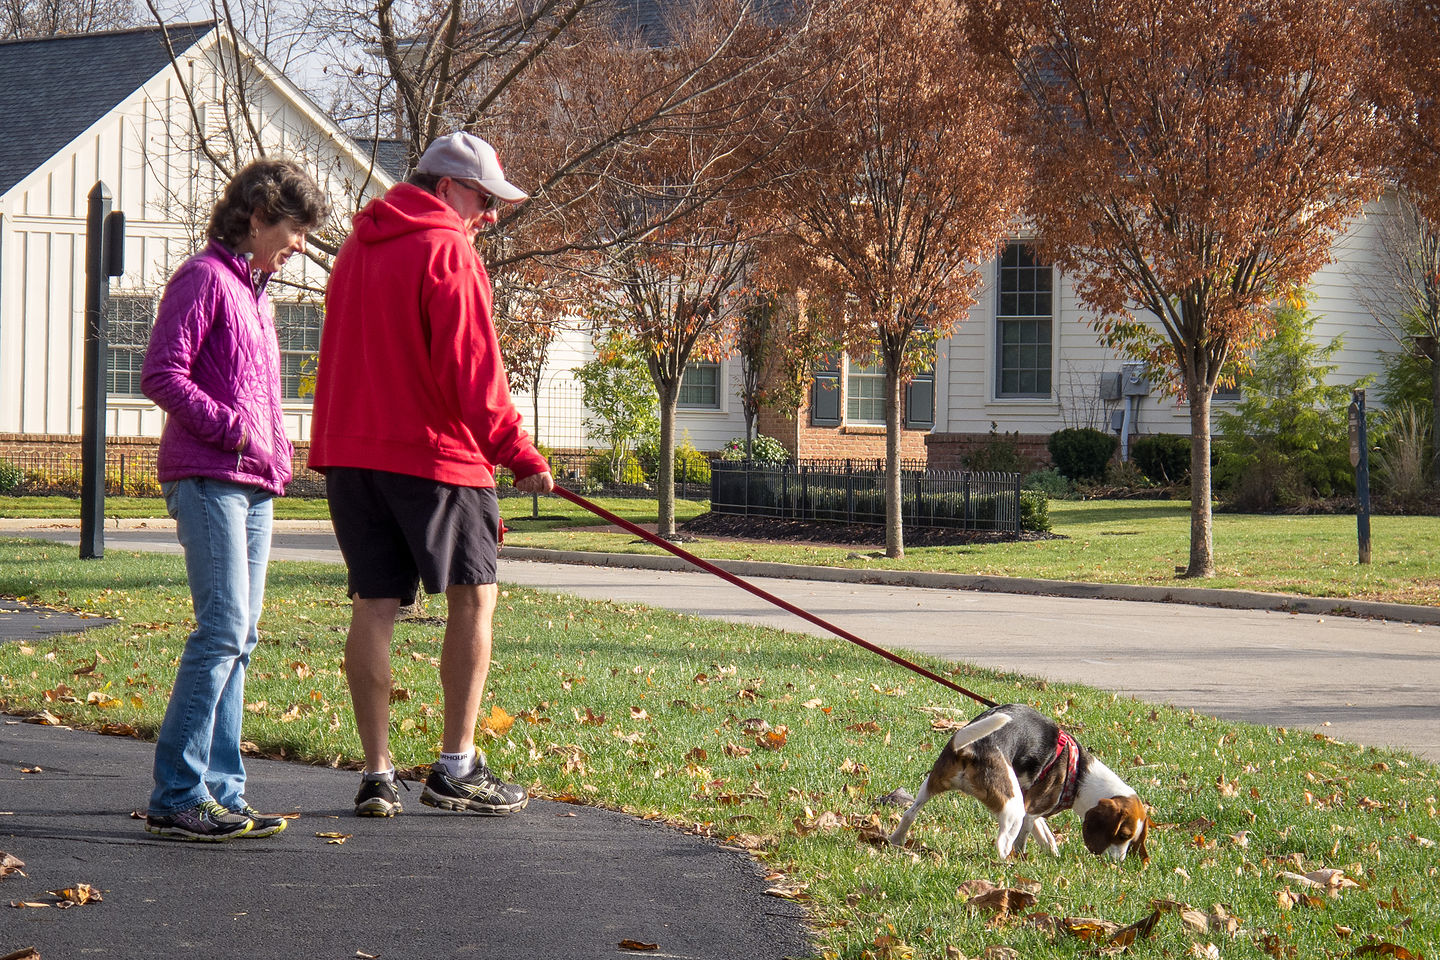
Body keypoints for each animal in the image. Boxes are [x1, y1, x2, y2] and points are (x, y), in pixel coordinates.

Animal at [887, 699, 1146, 863]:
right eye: (1123, 836)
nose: (1119, 862)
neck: (1081, 775)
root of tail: (971, 747)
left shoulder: (1032, 809)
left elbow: (1047, 838)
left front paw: (1053, 856)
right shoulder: (1030, 812)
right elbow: (1026, 838)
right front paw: (1025, 858)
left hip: (930, 785)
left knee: (909, 814)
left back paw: (896, 840)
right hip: (1013, 808)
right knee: (1002, 843)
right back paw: (1008, 863)